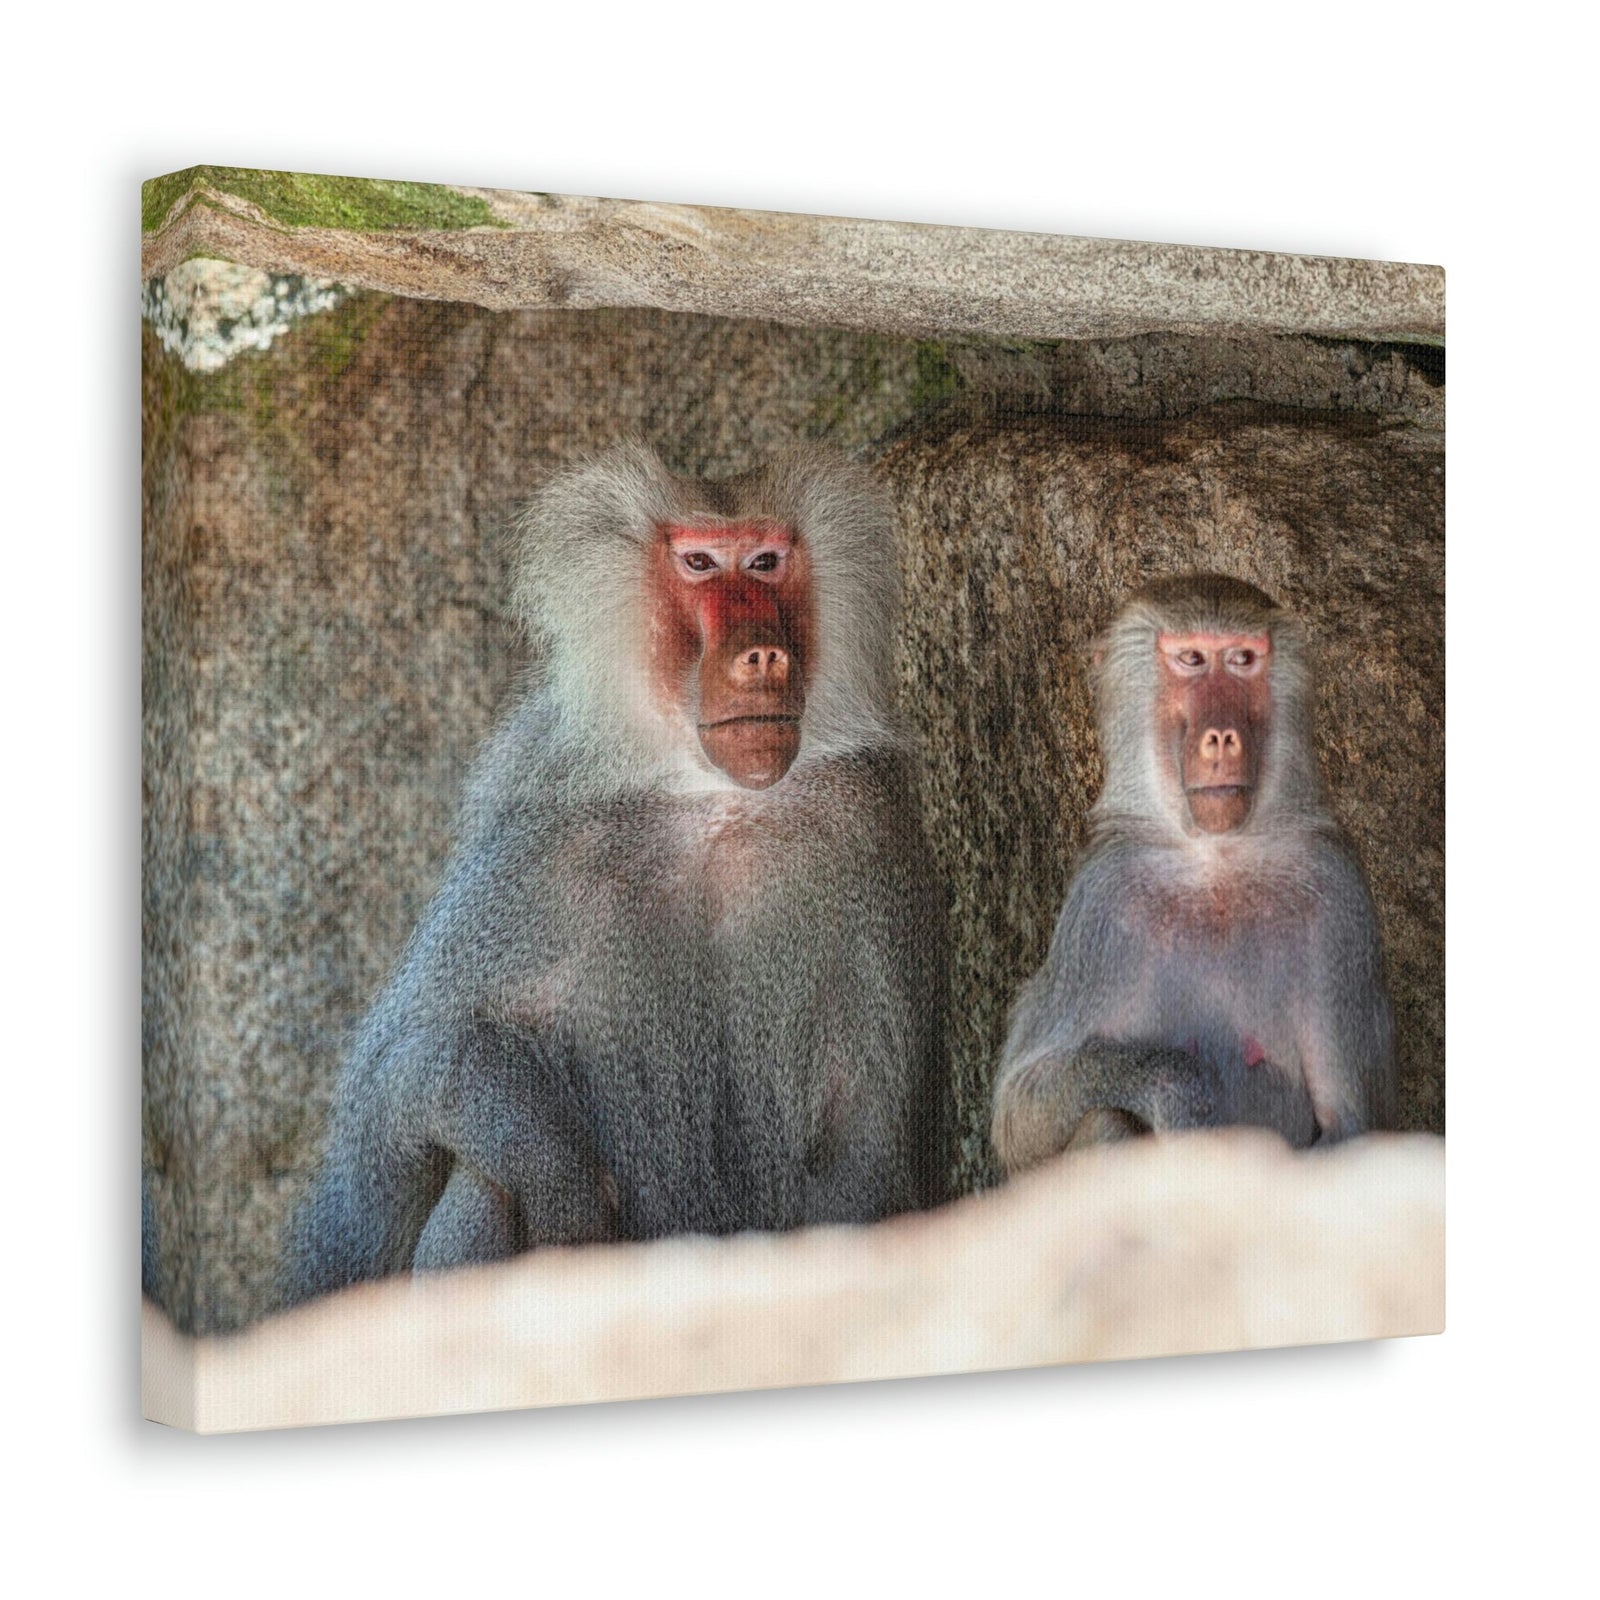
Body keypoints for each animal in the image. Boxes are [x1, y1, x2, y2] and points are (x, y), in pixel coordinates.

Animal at [283, 443, 947, 1304]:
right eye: (699, 563)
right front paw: (557, 1176)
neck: (708, 795)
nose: (764, 654)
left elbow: (862, 1139)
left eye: (766, 562)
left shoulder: (867, 828)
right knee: (480, 1178)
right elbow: (388, 1100)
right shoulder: (535, 839)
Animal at [991, 573, 1395, 1175]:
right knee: (1107, 1119)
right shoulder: (1102, 901)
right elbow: (1019, 1111)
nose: (1223, 736)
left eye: (1243, 659)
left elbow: (1349, 1128)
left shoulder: (1338, 897)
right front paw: (1181, 1093)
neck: (1216, 861)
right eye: (1191, 659)